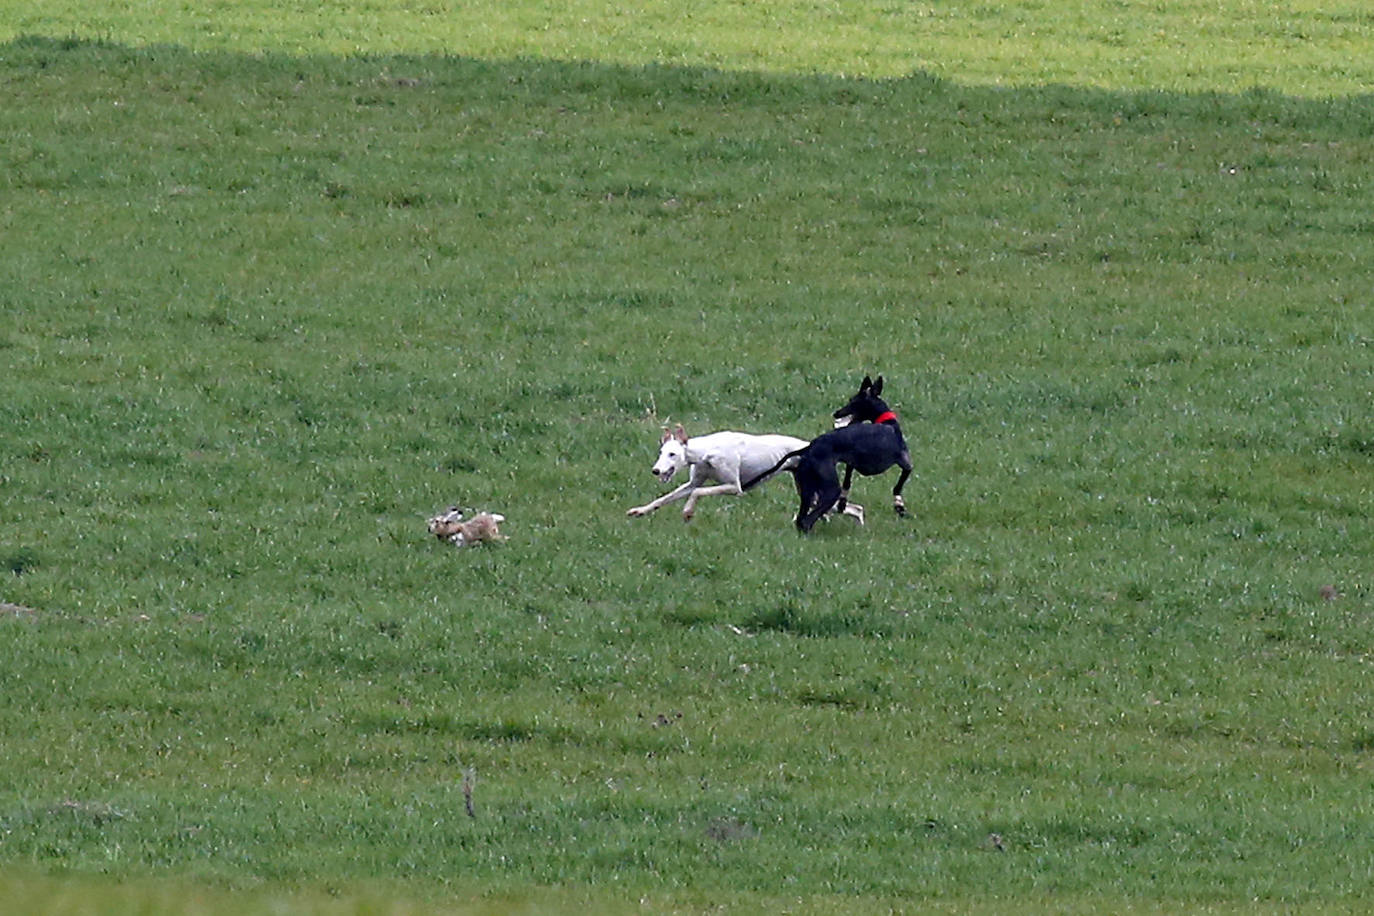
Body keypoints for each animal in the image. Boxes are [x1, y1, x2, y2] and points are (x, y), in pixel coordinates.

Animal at [629, 425, 862, 521]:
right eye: (661, 452)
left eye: (673, 454)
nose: (656, 470)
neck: (707, 450)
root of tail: (810, 445)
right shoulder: (694, 482)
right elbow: (665, 498)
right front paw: (640, 510)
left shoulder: (734, 487)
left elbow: (698, 493)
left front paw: (687, 511)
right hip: (810, 491)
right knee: (852, 508)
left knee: (856, 509)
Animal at [741, 376, 912, 532]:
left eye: (853, 401)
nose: (836, 413)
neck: (886, 422)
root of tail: (809, 447)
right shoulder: (906, 463)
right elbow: (899, 484)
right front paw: (899, 505)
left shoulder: (852, 463)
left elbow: (848, 481)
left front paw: (843, 502)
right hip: (829, 491)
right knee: (807, 521)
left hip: (807, 490)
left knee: (801, 520)